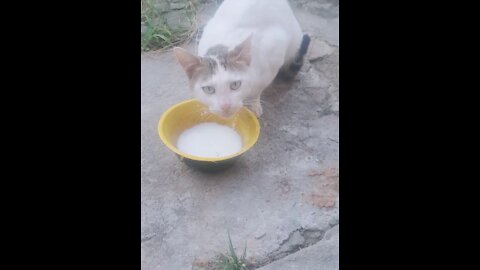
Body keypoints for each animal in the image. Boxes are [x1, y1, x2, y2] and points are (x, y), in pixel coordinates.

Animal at [174, 0, 310, 118]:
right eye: (209, 89)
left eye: (235, 85)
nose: (225, 106)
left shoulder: (274, 52)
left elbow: (258, 90)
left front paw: (254, 104)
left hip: (294, 39)